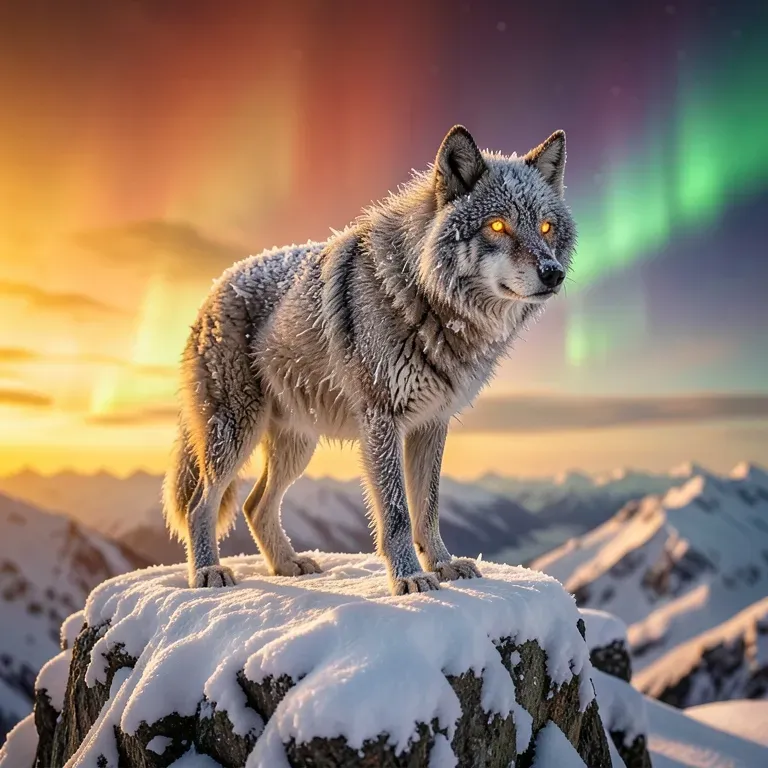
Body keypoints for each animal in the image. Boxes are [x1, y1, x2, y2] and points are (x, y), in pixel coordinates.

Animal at [163, 125, 576, 595]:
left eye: (545, 226)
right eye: (497, 225)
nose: (553, 273)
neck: (428, 305)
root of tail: (215, 287)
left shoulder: (432, 424)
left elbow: (428, 508)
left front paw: (443, 566)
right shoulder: (382, 420)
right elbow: (396, 513)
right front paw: (410, 579)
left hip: (297, 445)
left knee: (254, 505)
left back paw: (287, 564)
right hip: (236, 433)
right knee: (200, 505)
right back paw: (208, 573)